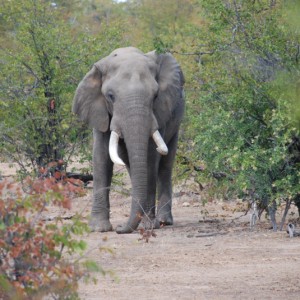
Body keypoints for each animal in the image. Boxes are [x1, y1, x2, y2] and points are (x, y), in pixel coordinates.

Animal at [73, 47, 185, 234]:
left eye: (155, 96)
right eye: (110, 96)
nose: (120, 228)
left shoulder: (159, 112)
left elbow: (150, 158)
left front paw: (148, 226)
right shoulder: (99, 112)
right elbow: (101, 158)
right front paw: (99, 228)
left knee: (165, 166)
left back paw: (164, 221)